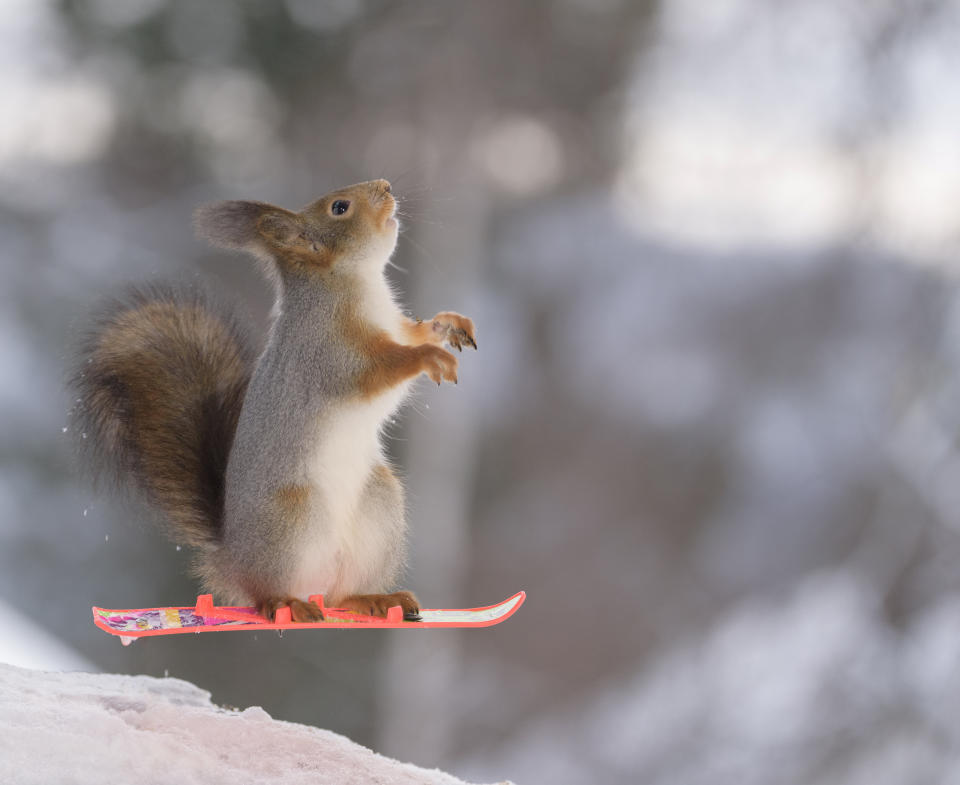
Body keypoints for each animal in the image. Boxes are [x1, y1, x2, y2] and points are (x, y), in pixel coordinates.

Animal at [68, 181, 476, 620]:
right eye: (340, 208)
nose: (385, 186)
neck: (354, 281)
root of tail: (231, 559)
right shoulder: (329, 353)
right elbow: (375, 371)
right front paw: (431, 357)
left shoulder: (395, 327)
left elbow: (415, 332)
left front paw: (449, 325)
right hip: (292, 518)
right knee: (267, 595)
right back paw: (288, 604)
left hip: (377, 506)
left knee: (339, 596)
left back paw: (376, 598)